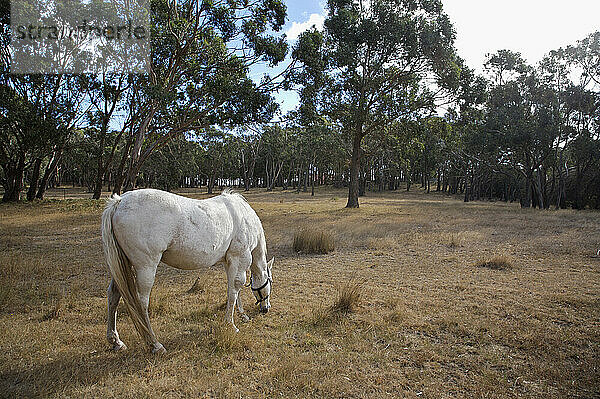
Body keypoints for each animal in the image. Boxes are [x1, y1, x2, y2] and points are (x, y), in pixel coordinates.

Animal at [101, 189, 274, 354]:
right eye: (270, 283)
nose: (266, 309)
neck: (245, 216)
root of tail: (119, 201)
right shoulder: (240, 258)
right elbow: (234, 290)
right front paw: (230, 324)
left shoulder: (229, 262)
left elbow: (234, 290)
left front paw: (242, 314)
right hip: (145, 267)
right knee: (141, 303)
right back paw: (155, 345)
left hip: (124, 267)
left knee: (113, 295)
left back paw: (116, 341)